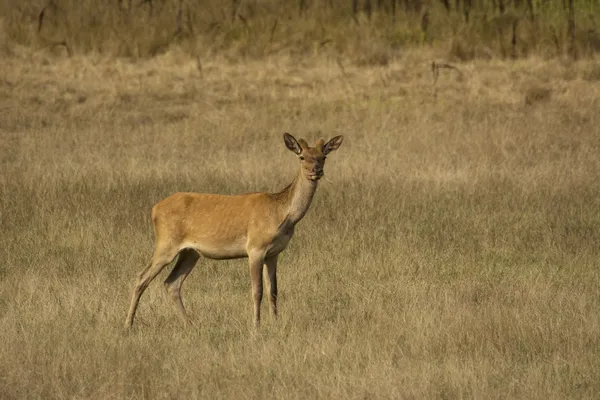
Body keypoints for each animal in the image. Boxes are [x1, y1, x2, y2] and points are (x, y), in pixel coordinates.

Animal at [124, 133, 344, 330]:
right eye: (302, 157)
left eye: (323, 156)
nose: (316, 170)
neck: (282, 215)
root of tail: (155, 209)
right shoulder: (255, 248)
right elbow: (257, 290)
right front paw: (256, 326)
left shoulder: (274, 253)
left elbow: (273, 291)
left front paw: (276, 323)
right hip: (166, 244)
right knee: (141, 278)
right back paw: (128, 324)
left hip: (190, 252)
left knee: (172, 283)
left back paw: (191, 325)